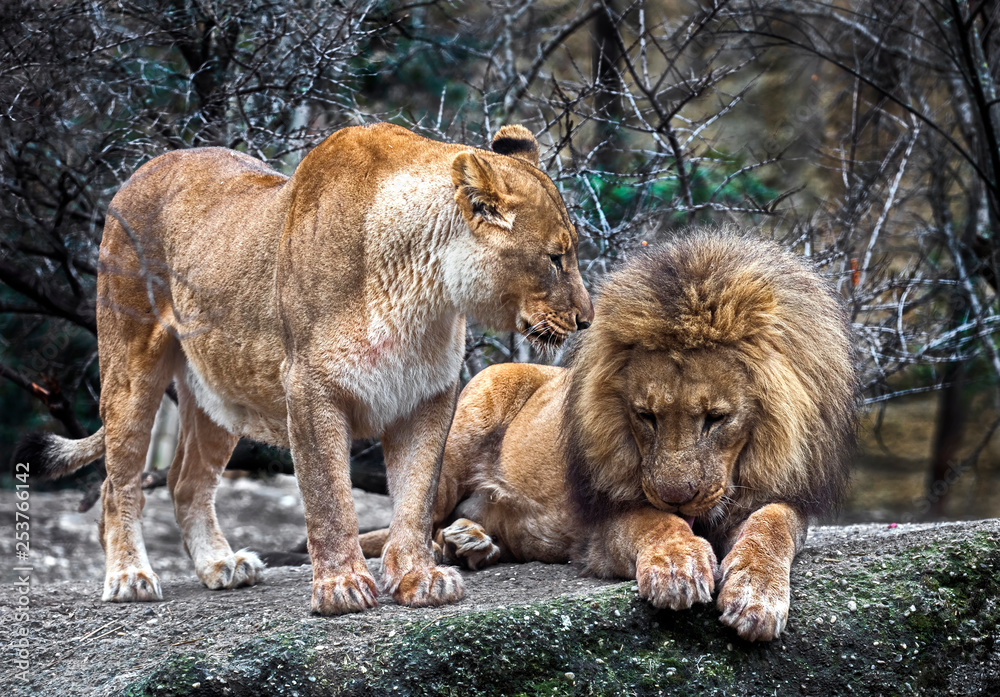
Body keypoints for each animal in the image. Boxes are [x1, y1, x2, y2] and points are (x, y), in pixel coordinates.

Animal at [16, 123, 593, 615]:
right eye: (556, 258)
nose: (586, 320)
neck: (424, 291)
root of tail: (141, 170)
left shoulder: (427, 394)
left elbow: (414, 497)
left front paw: (418, 577)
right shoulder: (310, 389)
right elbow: (329, 496)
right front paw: (341, 588)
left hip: (219, 391)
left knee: (185, 482)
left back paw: (221, 564)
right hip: (131, 365)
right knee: (118, 483)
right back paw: (130, 577)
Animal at [360, 228, 857, 640]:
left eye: (716, 418)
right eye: (646, 416)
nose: (678, 497)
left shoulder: (781, 495)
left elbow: (773, 526)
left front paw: (756, 596)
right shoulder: (602, 524)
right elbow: (653, 520)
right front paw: (676, 565)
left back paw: (472, 542)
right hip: (463, 429)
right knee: (412, 523)